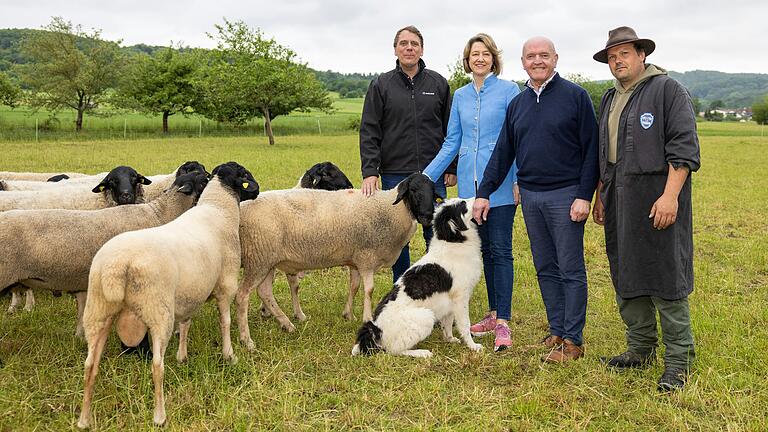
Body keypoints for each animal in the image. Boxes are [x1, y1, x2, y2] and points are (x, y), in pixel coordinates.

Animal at [76, 162, 260, 428]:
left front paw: (182, 356)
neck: (218, 208)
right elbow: (225, 322)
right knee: (156, 366)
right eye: (244, 175)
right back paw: (159, 416)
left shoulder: (189, 292)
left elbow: (186, 323)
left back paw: (84, 419)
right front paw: (230, 355)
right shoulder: (226, 283)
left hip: (98, 311)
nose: (258, 191)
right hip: (158, 313)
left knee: (90, 365)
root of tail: (119, 266)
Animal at [234, 172, 438, 348]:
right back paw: (247, 340)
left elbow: (354, 286)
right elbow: (369, 290)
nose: (428, 217)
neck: (391, 210)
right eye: (413, 190)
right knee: (242, 295)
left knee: (265, 292)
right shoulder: (367, 257)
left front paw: (348, 314)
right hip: (259, 258)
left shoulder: (356, 259)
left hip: (266, 260)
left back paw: (287, 324)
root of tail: (240, 208)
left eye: (434, 193)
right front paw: (367, 318)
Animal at [352, 199, 484, 358]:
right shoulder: (461, 298)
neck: (453, 241)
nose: (477, 199)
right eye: (463, 205)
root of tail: (376, 330)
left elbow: (447, 322)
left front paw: (449, 339)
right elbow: (465, 325)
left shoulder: (450, 301)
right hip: (426, 316)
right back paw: (421, 352)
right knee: (394, 350)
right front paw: (472, 346)